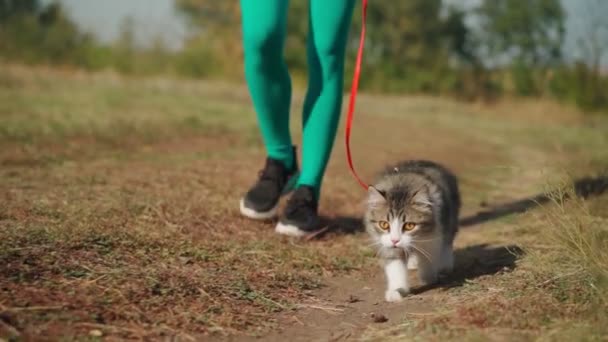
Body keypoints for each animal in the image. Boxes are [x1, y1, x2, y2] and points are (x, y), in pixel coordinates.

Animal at [364, 160, 458, 302]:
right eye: (384, 224)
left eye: (409, 226)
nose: (395, 240)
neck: (402, 186)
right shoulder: (387, 245)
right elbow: (395, 268)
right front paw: (396, 291)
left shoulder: (434, 235)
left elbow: (428, 258)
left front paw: (428, 277)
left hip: (450, 217)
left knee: (448, 241)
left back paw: (444, 265)